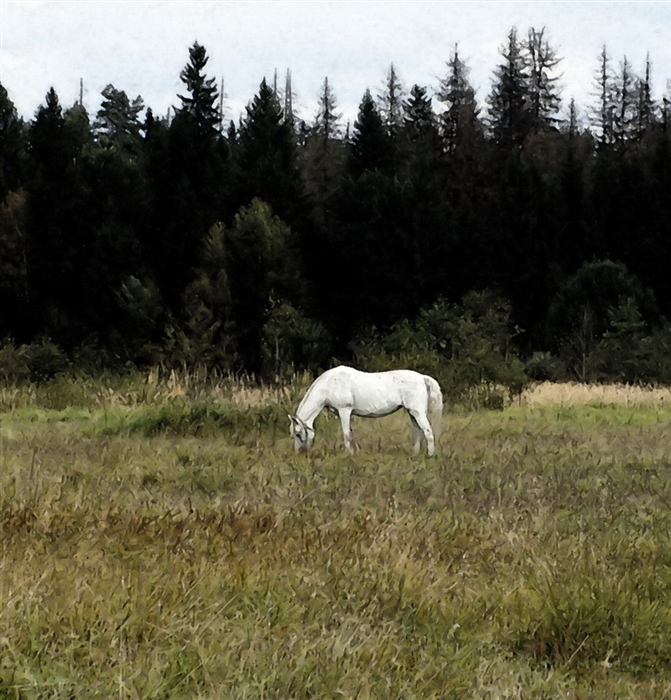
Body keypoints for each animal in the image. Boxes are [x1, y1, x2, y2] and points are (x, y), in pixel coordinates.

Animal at [288, 364, 440, 456]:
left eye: (298, 434)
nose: (299, 453)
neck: (329, 386)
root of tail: (422, 377)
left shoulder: (344, 410)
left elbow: (346, 434)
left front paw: (347, 454)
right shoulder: (345, 413)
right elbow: (351, 433)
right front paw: (356, 452)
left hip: (418, 412)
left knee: (428, 431)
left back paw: (430, 455)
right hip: (412, 412)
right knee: (417, 431)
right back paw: (415, 453)